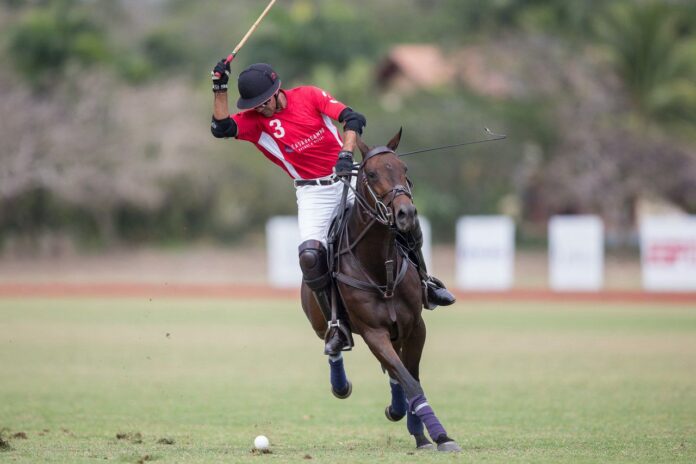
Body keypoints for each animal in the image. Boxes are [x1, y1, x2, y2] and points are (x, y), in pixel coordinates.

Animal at [300, 129, 462, 452]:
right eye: (372, 173)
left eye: (404, 168)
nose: (406, 214)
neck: (378, 266)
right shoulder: (373, 332)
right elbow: (410, 380)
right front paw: (439, 435)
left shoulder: (415, 327)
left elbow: (410, 376)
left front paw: (425, 434)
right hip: (322, 321)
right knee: (334, 345)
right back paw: (341, 381)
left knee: (394, 371)